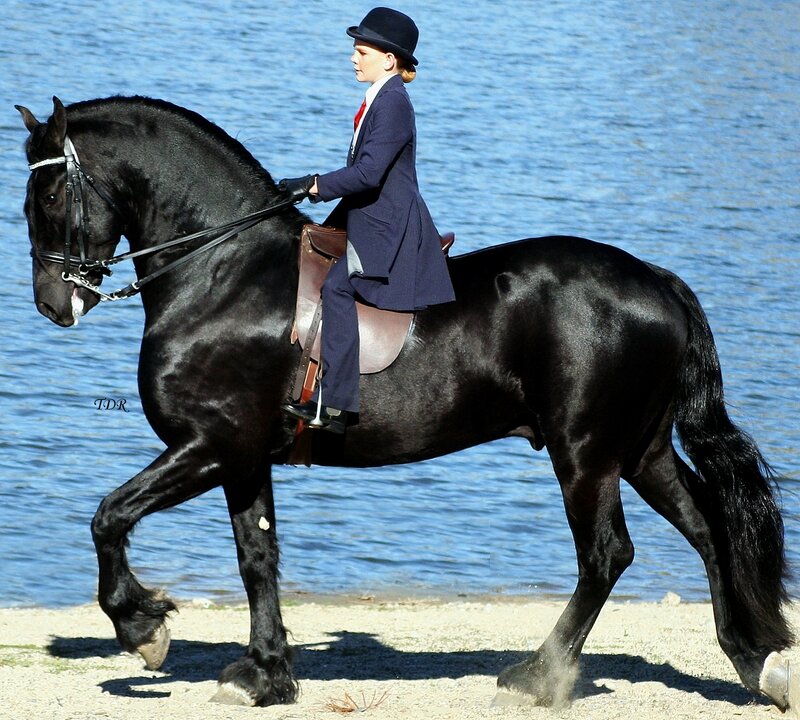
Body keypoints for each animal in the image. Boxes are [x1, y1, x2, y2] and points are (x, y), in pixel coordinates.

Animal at [16, 95, 797, 711]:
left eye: (49, 197)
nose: (53, 305)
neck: (223, 274)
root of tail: (656, 280)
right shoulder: (243, 457)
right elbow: (256, 557)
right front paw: (265, 675)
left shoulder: (209, 445)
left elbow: (109, 516)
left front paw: (143, 628)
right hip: (639, 451)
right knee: (708, 528)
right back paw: (752, 660)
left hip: (586, 454)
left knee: (607, 554)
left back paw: (537, 677)